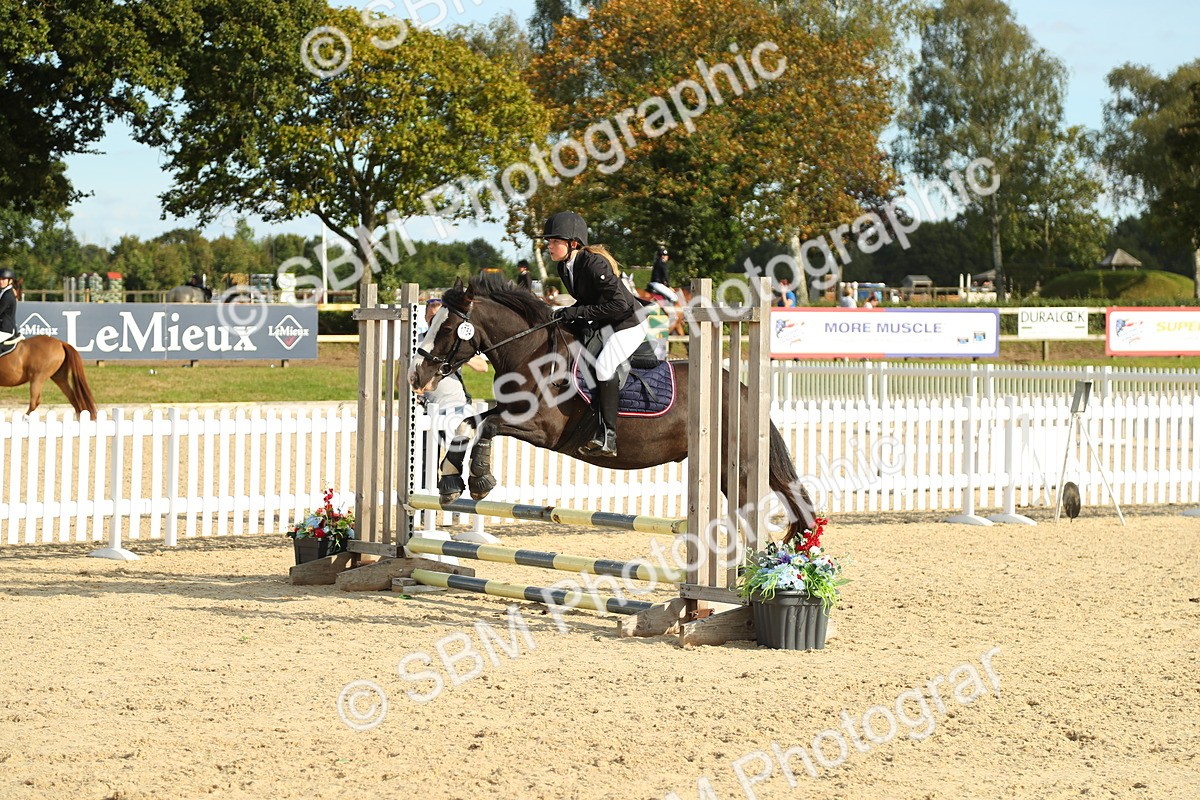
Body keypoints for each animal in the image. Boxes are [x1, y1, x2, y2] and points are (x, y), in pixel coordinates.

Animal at [409, 274, 817, 544]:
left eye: (447, 327)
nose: (417, 376)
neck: (533, 353)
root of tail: (745, 391)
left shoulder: (543, 429)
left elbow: (487, 426)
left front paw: (480, 479)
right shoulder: (509, 411)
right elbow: (468, 423)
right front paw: (449, 483)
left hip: (741, 470)